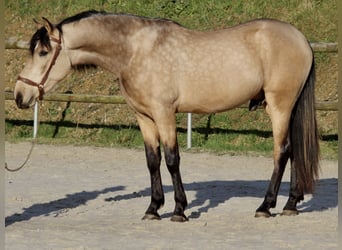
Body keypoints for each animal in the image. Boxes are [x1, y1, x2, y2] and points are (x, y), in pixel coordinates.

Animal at [13, 9, 320, 222]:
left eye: (43, 52)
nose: (19, 95)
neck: (136, 51)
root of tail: (301, 39)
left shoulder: (164, 114)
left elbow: (172, 160)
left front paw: (179, 210)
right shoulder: (144, 117)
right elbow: (152, 161)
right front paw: (153, 208)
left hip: (280, 106)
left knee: (281, 151)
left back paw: (266, 206)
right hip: (288, 109)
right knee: (294, 151)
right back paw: (291, 205)